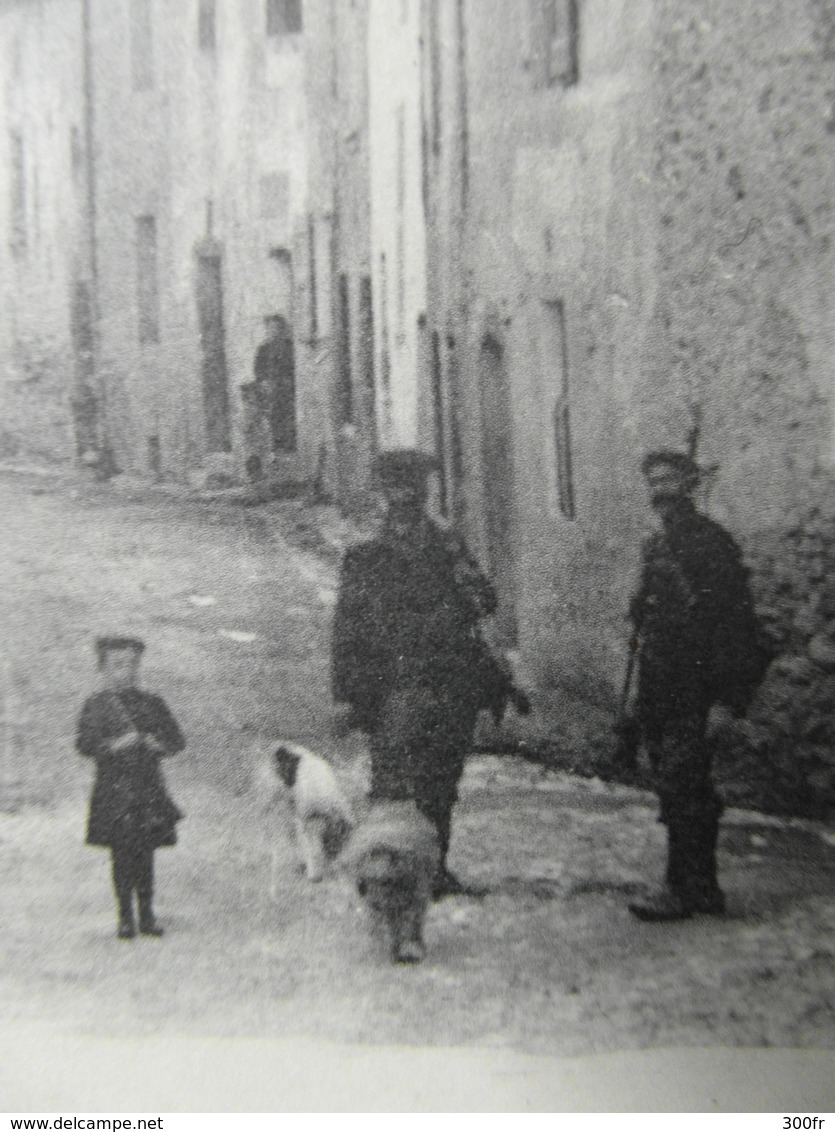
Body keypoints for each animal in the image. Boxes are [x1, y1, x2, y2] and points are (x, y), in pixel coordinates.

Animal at [264, 742, 353, 882]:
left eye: (336, 844)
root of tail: (281, 746)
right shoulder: (306, 822)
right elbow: (309, 847)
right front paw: (313, 872)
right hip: (279, 802)